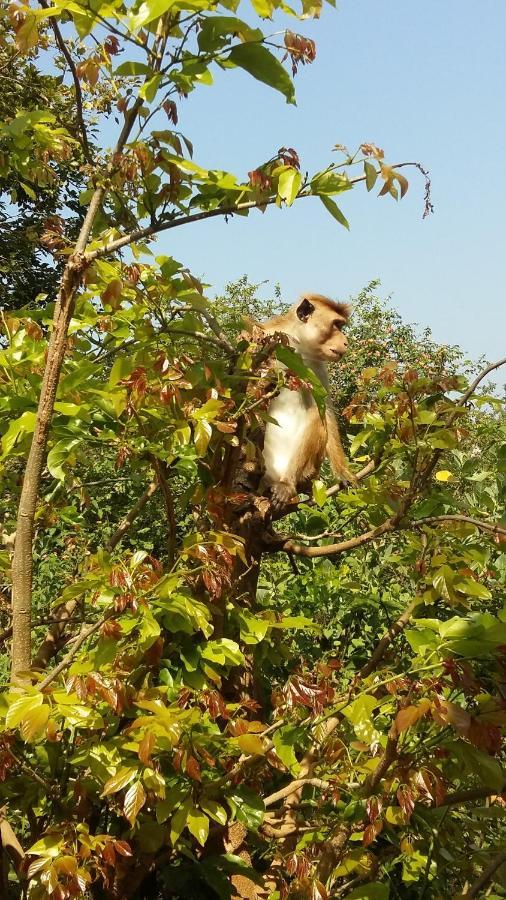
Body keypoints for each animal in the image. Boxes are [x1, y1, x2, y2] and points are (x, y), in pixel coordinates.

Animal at [258, 294, 354, 506]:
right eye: (336, 325)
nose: (346, 342)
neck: (298, 348)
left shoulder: (317, 368)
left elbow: (325, 411)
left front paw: (343, 472)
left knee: (317, 418)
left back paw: (289, 484)